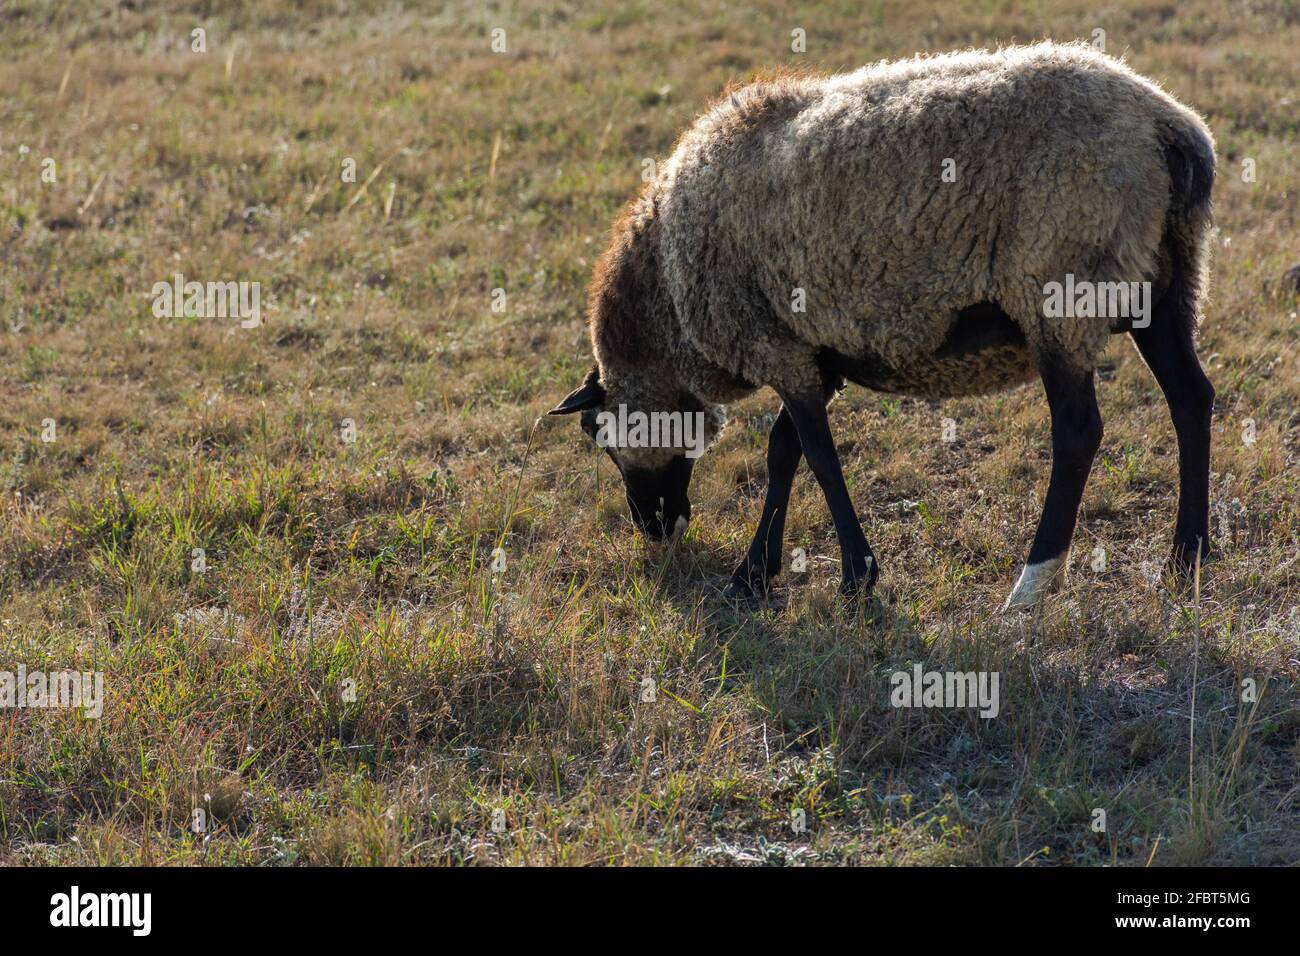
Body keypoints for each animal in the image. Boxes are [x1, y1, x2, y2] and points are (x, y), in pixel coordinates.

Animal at [551, 41, 1216, 609]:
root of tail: (1168, 125)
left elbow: (818, 456)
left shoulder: (773, 347)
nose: (654, 529)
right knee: (1191, 398)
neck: (666, 294)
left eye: (600, 438)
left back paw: (1031, 585)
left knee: (1079, 432)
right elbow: (783, 450)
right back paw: (1187, 558)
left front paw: (855, 575)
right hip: (1163, 284)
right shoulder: (808, 351)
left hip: (1061, 291)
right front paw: (754, 573)